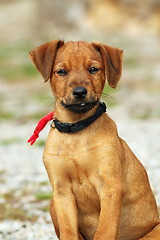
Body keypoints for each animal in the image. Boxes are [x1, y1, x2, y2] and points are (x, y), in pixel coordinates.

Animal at [29, 40, 159, 240]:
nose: (80, 92)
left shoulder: (110, 186)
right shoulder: (61, 190)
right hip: (52, 204)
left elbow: (104, 231)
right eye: (61, 72)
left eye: (93, 69)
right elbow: (68, 232)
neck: (76, 130)